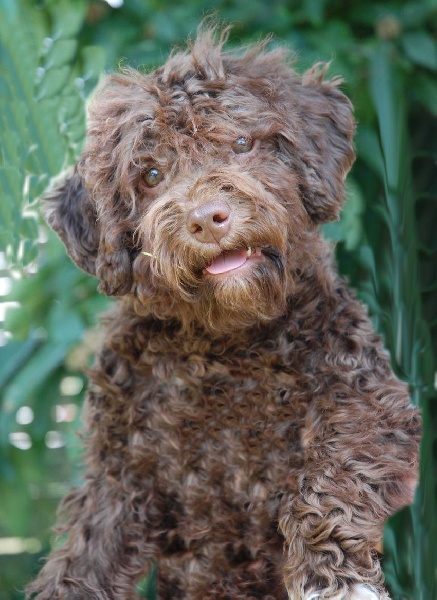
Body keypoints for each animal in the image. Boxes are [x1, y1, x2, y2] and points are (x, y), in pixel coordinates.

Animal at [27, 25, 421, 600]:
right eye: (150, 174)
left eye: (240, 143)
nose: (208, 218)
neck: (226, 347)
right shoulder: (119, 472)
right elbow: (85, 550)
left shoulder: (370, 404)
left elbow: (331, 480)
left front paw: (333, 577)